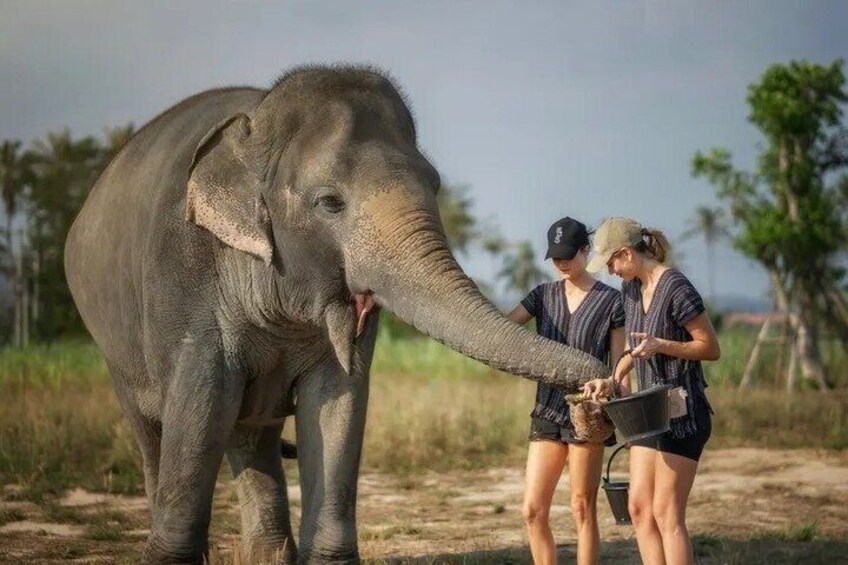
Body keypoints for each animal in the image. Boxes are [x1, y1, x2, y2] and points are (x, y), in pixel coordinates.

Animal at [64, 65, 608, 564]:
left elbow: (337, 402)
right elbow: (200, 403)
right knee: (154, 431)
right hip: (113, 344)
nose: (598, 385)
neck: (256, 124)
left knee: (251, 433)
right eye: (329, 203)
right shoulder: (183, 277)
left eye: (434, 185)